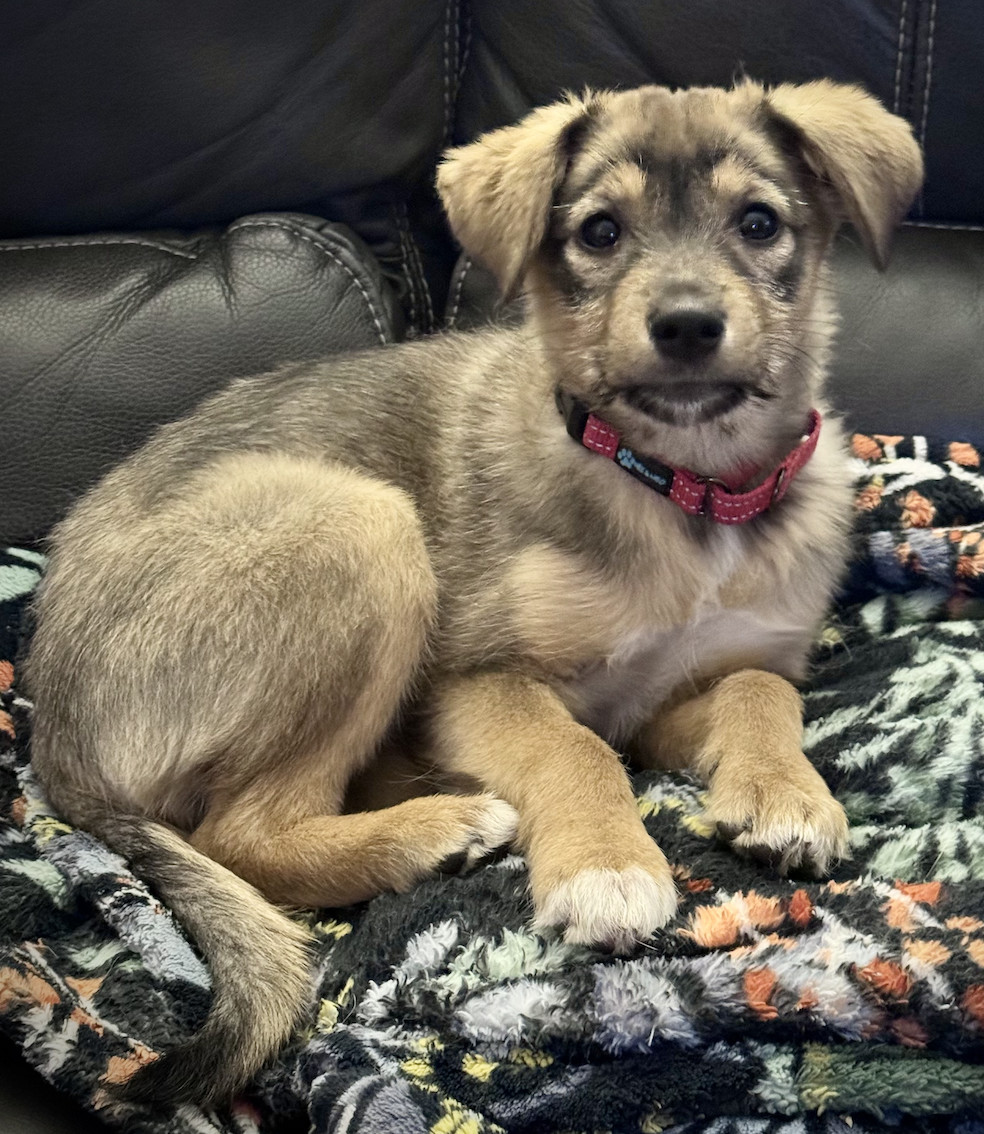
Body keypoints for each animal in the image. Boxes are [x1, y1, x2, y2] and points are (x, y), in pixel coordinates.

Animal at [28, 77, 920, 1097]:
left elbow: (759, 687)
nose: (688, 326)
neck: (684, 492)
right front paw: (606, 863)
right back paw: (436, 828)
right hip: (363, 524)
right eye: (600, 233)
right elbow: (574, 748)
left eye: (760, 222)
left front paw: (785, 795)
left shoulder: (662, 696)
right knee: (239, 835)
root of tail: (54, 740)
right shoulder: (472, 682)